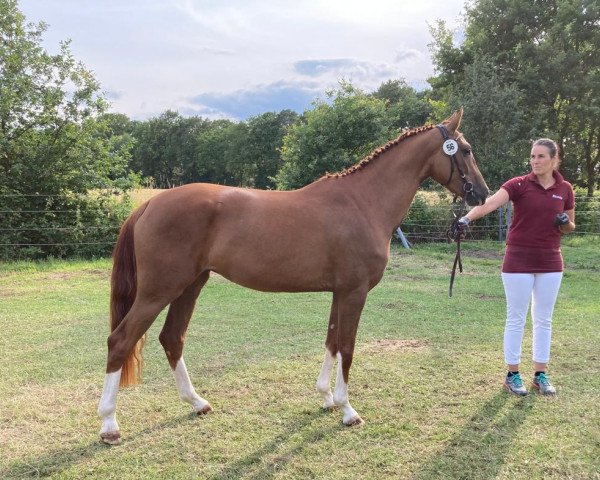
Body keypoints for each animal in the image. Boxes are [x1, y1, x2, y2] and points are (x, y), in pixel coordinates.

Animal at [97, 109, 488, 442]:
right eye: (466, 150)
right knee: (120, 340)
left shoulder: (339, 292)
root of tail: (149, 204)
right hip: (158, 291)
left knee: (172, 338)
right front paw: (348, 410)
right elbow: (348, 346)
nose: (482, 194)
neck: (363, 202)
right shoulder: (354, 292)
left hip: (190, 285)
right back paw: (109, 424)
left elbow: (332, 341)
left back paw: (197, 403)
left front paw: (326, 398)